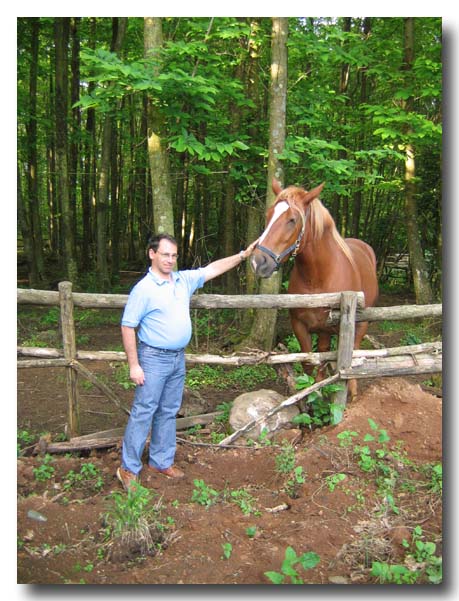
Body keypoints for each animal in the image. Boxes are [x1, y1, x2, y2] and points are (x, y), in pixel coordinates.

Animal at [250, 180, 380, 400]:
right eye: (269, 215)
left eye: (292, 220)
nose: (258, 262)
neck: (317, 279)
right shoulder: (299, 325)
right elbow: (308, 362)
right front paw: (308, 398)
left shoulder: (326, 328)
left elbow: (323, 360)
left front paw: (318, 394)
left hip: (362, 323)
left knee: (354, 350)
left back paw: (352, 391)